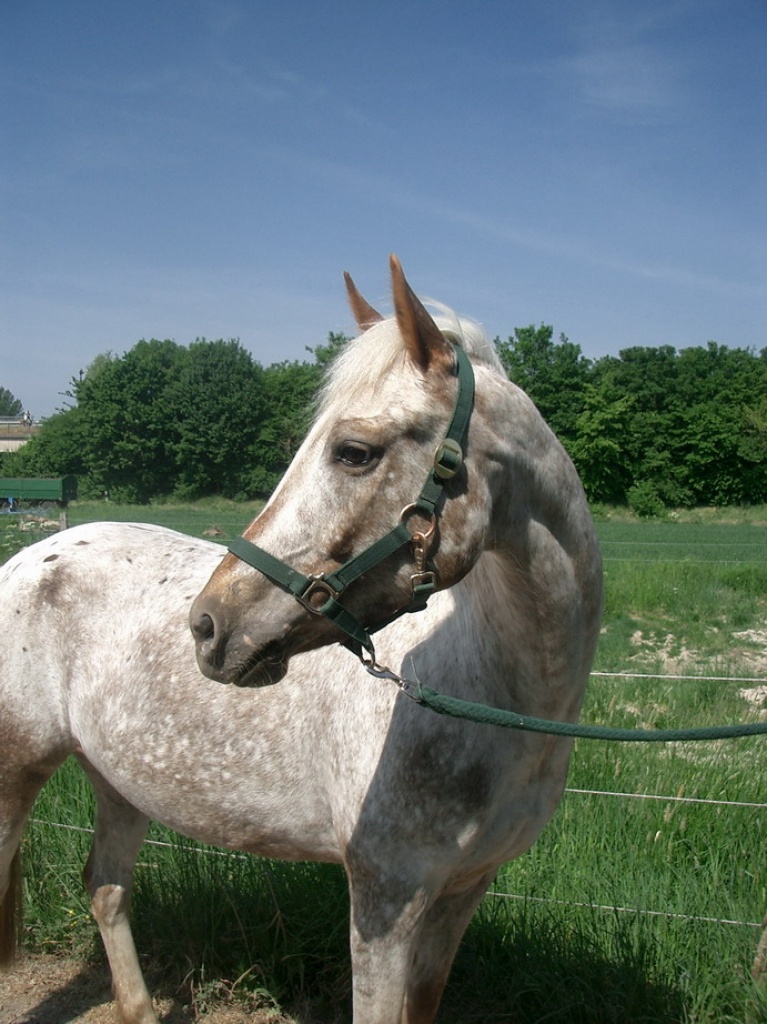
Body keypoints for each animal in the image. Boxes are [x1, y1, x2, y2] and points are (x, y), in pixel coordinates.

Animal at [0, 256, 602, 1024]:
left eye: (353, 452)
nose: (207, 625)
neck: (489, 694)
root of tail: (28, 558)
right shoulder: (385, 899)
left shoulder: (461, 895)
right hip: (15, 771)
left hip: (118, 781)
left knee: (106, 889)